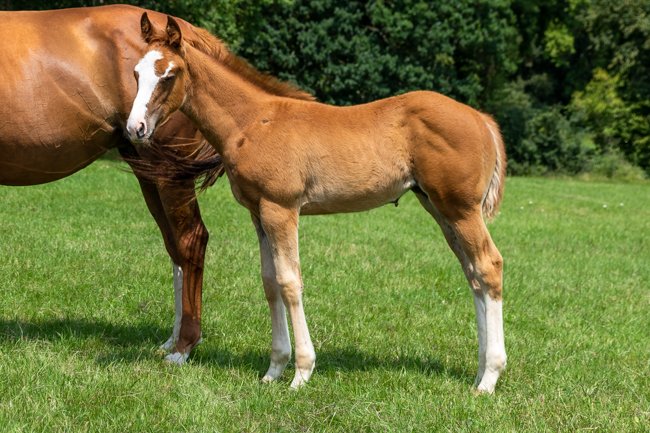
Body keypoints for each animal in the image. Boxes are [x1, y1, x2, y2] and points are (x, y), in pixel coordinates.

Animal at [0, 5, 229, 363]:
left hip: (171, 174)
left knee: (192, 240)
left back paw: (184, 347)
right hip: (150, 172)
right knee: (175, 245)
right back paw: (172, 340)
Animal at [127, 14, 508, 393]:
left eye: (169, 75)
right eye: (135, 73)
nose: (136, 128)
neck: (252, 122)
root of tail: (482, 119)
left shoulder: (281, 209)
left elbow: (289, 282)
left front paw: (301, 372)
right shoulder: (258, 213)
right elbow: (269, 282)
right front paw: (273, 370)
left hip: (461, 210)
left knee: (489, 266)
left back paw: (489, 378)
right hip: (440, 208)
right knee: (473, 274)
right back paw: (478, 372)